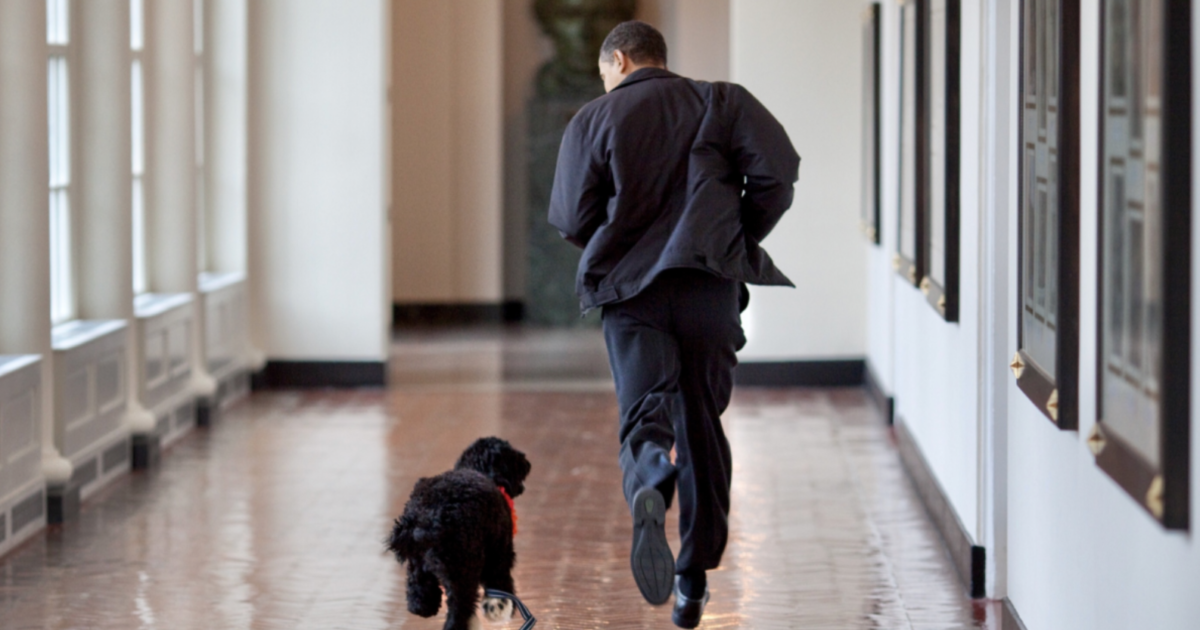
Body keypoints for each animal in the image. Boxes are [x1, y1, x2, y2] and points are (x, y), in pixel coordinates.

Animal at [388, 436, 530, 628]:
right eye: (513, 457)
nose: (527, 463)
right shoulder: (499, 555)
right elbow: (501, 585)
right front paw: (499, 608)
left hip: (419, 565)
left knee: (418, 595)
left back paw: (423, 605)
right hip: (463, 572)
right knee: (459, 611)